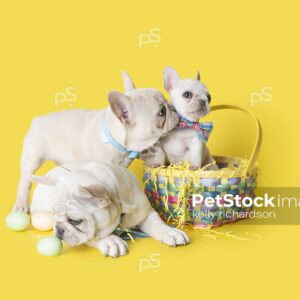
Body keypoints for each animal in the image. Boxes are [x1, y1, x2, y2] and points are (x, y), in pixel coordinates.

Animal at [14, 72, 178, 213]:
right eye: (161, 112)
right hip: (32, 158)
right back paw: (21, 204)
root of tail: (37, 120)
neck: (115, 137)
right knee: (25, 181)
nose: (173, 108)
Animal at [30, 162, 190, 258]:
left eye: (75, 221)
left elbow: (157, 223)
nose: (59, 229)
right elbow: (96, 236)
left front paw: (171, 232)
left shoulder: (145, 214)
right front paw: (111, 240)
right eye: (54, 215)